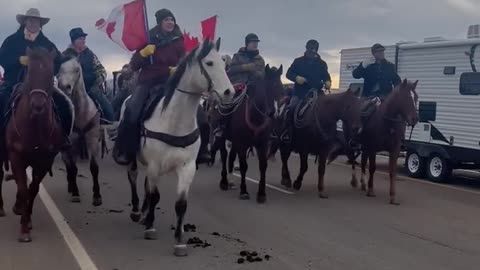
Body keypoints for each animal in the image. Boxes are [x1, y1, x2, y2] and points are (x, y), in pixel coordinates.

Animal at [2, 47, 73, 243]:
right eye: (30, 72)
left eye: (50, 73)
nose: (38, 105)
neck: (34, 127)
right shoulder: (16, 157)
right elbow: (23, 188)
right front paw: (23, 227)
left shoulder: (43, 161)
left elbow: (32, 189)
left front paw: (27, 220)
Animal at [57, 48, 104, 206]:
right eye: (59, 69)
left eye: (77, 70)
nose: (65, 87)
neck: (80, 112)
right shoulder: (72, 143)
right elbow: (73, 169)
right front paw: (76, 193)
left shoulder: (92, 139)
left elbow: (94, 168)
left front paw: (97, 196)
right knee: (68, 166)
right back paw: (71, 187)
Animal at [119, 37, 233, 255]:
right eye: (209, 63)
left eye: (224, 64)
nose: (229, 92)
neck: (173, 122)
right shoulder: (154, 165)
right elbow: (154, 196)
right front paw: (150, 227)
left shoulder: (186, 167)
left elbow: (180, 204)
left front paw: (179, 240)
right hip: (135, 159)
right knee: (133, 177)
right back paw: (138, 212)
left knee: (145, 184)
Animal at [218, 64, 284, 204]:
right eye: (268, 87)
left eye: (281, 88)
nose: (275, 113)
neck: (255, 116)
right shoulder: (242, 144)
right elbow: (243, 166)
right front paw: (244, 191)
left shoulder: (263, 145)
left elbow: (263, 166)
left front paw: (261, 194)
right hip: (221, 137)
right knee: (224, 155)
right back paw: (224, 182)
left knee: (231, 156)